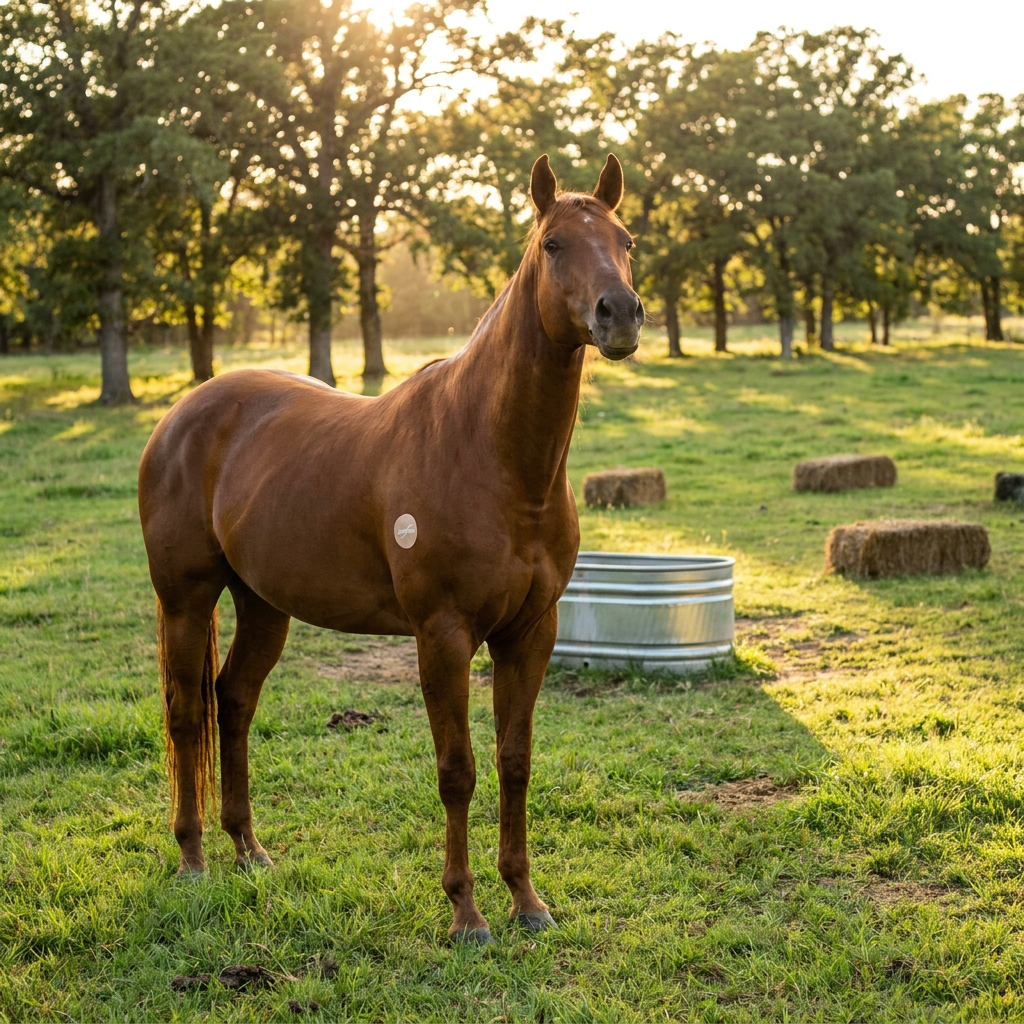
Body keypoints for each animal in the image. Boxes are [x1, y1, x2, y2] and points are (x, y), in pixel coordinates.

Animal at [138, 153, 644, 944]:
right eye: (554, 244)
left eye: (625, 241)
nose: (618, 313)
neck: (492, 455)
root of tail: (182, 414)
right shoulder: (443, 634)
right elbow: (457, 769)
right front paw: (466, 912)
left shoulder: (531, 632)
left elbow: (515, 761)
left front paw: (526, 901)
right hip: (186, 601)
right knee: (188, 713)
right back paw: (192, 860)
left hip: (264, 605)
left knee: (235, 701)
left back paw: (249, 849)